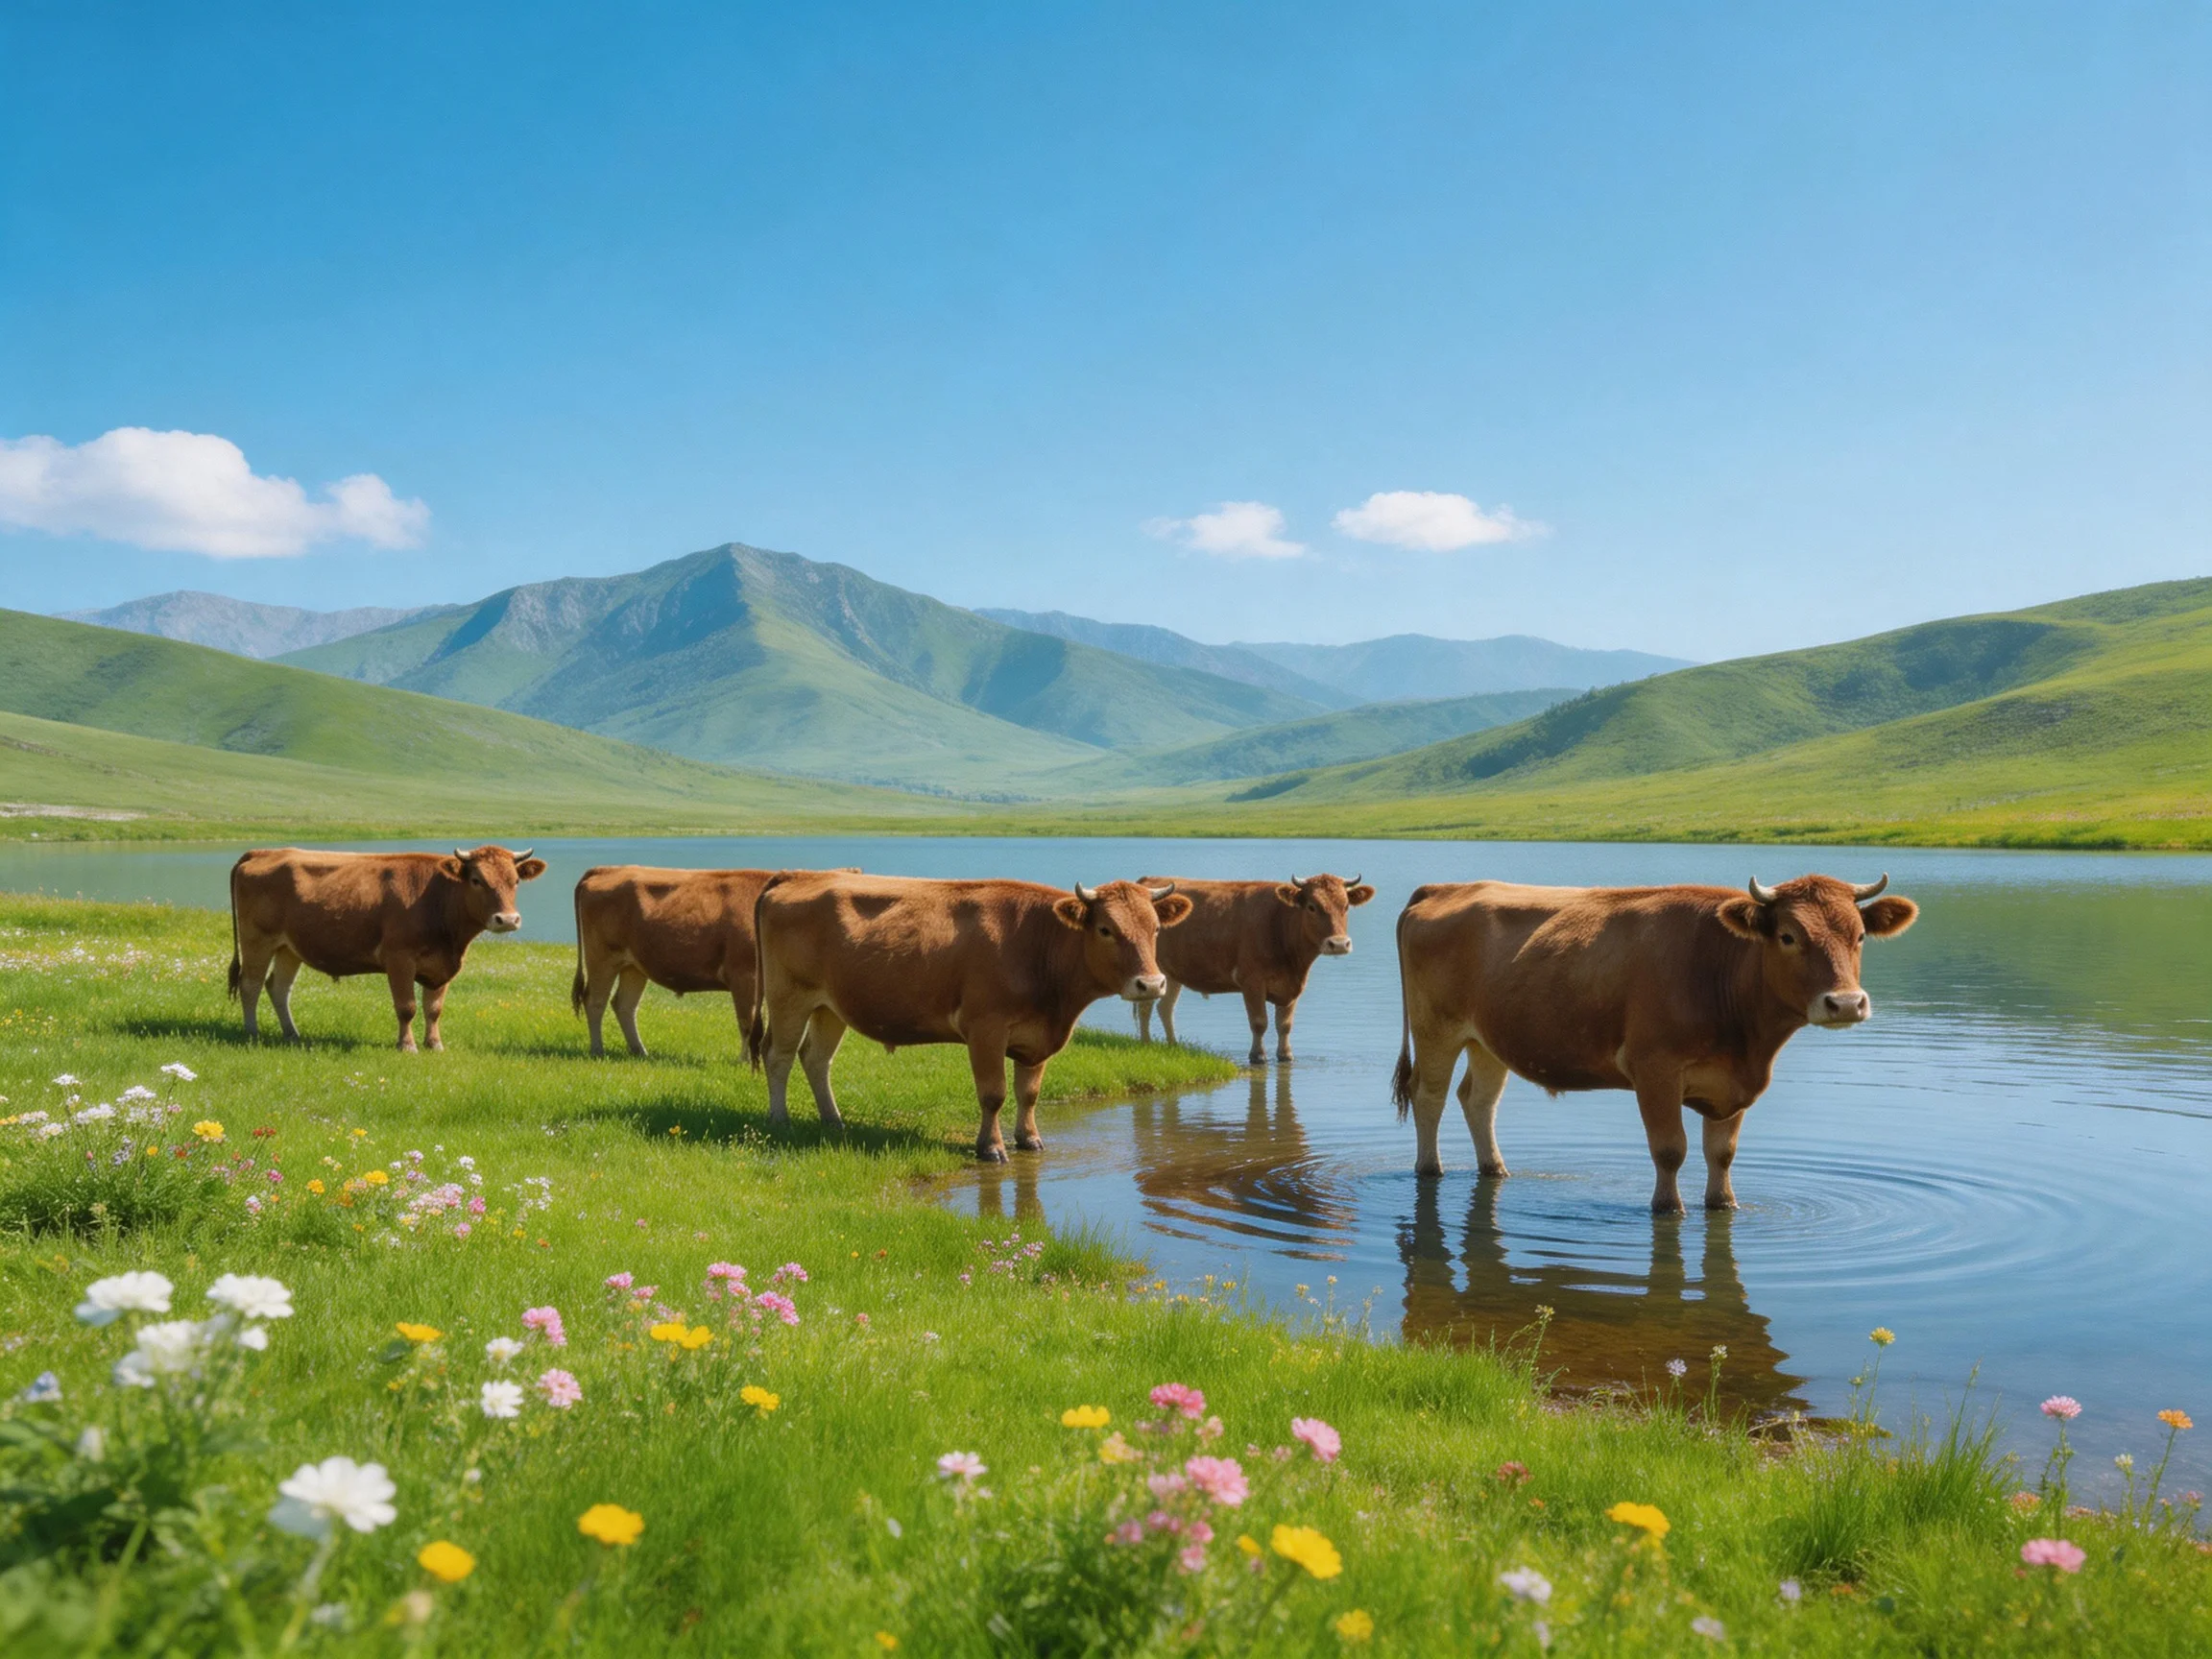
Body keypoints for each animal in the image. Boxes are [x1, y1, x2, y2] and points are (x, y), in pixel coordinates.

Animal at [227, 845, 547, 1052]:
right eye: (477, 880)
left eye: (515, 881)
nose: (508, 919)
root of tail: (265, 852)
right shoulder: (399, 959)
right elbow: (407, 1007)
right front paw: (407, 1045)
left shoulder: (441, 965)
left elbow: (434, 1009)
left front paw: (435, 1044)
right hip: (257, 940)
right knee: (250, 984)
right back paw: (252, 1033)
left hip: (289, 948)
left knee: (279, 987)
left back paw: (293, 1035)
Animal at [569, 865, 856, 1058]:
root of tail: (606, 869)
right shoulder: (744, 975)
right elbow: (746, 1020)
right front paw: (743, 1062)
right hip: (602, 958)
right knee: (595, 1001)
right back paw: (597, 1049)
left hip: (633, 966)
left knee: (624, 1005)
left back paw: (640, 1051)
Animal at [745, 873, 1192, 1162]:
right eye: (1105, 929)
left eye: (1155, 928)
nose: (1150, 984)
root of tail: (795, 876)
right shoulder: (985, 1029)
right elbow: (993, 1094)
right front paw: (990, 1147)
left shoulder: (1037, 1037)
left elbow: (1029, 1093)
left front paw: (1030, 1140)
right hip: (789, 998)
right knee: (778, 1056)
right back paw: (780, 1119)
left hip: (829, 1007)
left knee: (816, 1059)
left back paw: (834, 1122)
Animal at [1130, 872, 1376, 1064]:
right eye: (1312, 907)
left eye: (1345, 906)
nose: (1339, 944)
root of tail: (1146, 882)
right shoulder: (1251, 982)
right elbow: (1259, 1022)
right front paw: (1257, 1056)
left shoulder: (1292, 985)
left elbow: (1284, 1025)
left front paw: (1286, 1055)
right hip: (1152, 969)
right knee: (1146, 1007)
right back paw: (1146, 1044)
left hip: (1172, 974)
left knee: (1165, 1008)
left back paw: (1174, 1046)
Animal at [1390, 873, 1917, 1212]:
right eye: (1788, 936)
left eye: (1860, 936)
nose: (1845, 1003)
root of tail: (1443, 888)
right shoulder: (1654, 1069)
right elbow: (1670, 1150)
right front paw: (1668, 1208)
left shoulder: (1731, 1082)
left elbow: (1721, 1154)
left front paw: (1724, 1204)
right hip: (1436, 1029)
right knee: (1429, 1096)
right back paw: (1430, 1169)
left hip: (1489, 1038)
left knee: (1478, 1100)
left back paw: (1495, 1169)